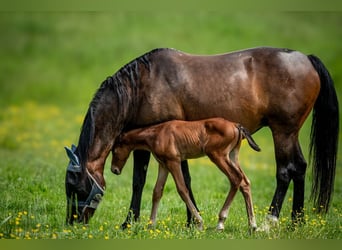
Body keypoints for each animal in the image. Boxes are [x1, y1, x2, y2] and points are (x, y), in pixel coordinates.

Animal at [111, 117, 260, 230]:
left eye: (114, 149)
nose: (114, 170)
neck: (157, 133)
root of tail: (236, 125)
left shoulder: (174, 162)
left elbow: (182, 189)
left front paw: (199, 222)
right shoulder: (163, 165)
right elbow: (157, 192)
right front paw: (150, 225)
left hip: (218, 156)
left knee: (235, 179)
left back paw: (221, 222)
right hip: (232, 156)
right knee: (245, 182)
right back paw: (252, 225)